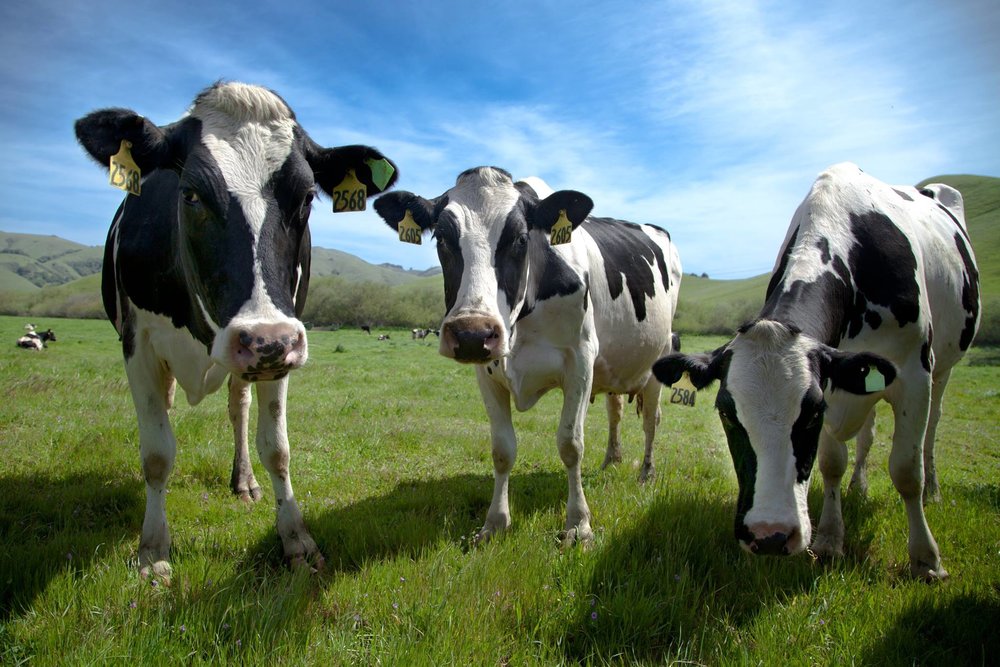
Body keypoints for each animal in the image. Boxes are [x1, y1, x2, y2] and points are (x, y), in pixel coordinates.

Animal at [74, 79, 398, 580]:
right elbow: (157, 453)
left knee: (237, 409)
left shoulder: (281, 348)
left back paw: (243, 480)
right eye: (190, 194)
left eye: (307, 197)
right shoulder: (137, 343)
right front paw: (153, 550)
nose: (264, 339)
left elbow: (276, 448)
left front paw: (296, 539)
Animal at [372, 168, 684, 548]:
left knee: (651, 420)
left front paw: (578, 525)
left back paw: (646, 474)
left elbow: (570, 444)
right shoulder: (487, 372)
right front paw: (495, 523)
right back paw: (612, 460)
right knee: (616, 411)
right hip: (613, 367)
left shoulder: (580, 360)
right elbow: (502, 450)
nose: (472, 334)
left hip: (660, 358)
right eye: (441, 239)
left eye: (521, 238)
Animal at [652, 163, 980, 580]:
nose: (770, 535)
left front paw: (926, 560)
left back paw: (934, 490)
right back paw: (859, 486)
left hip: (941, 371)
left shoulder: (911, 374)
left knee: (931, 431)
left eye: (812, 413)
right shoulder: (837, 380)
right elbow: (832, 463)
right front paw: (829, 539)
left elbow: (906, 470)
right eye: (726, 414)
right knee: (866, 435)